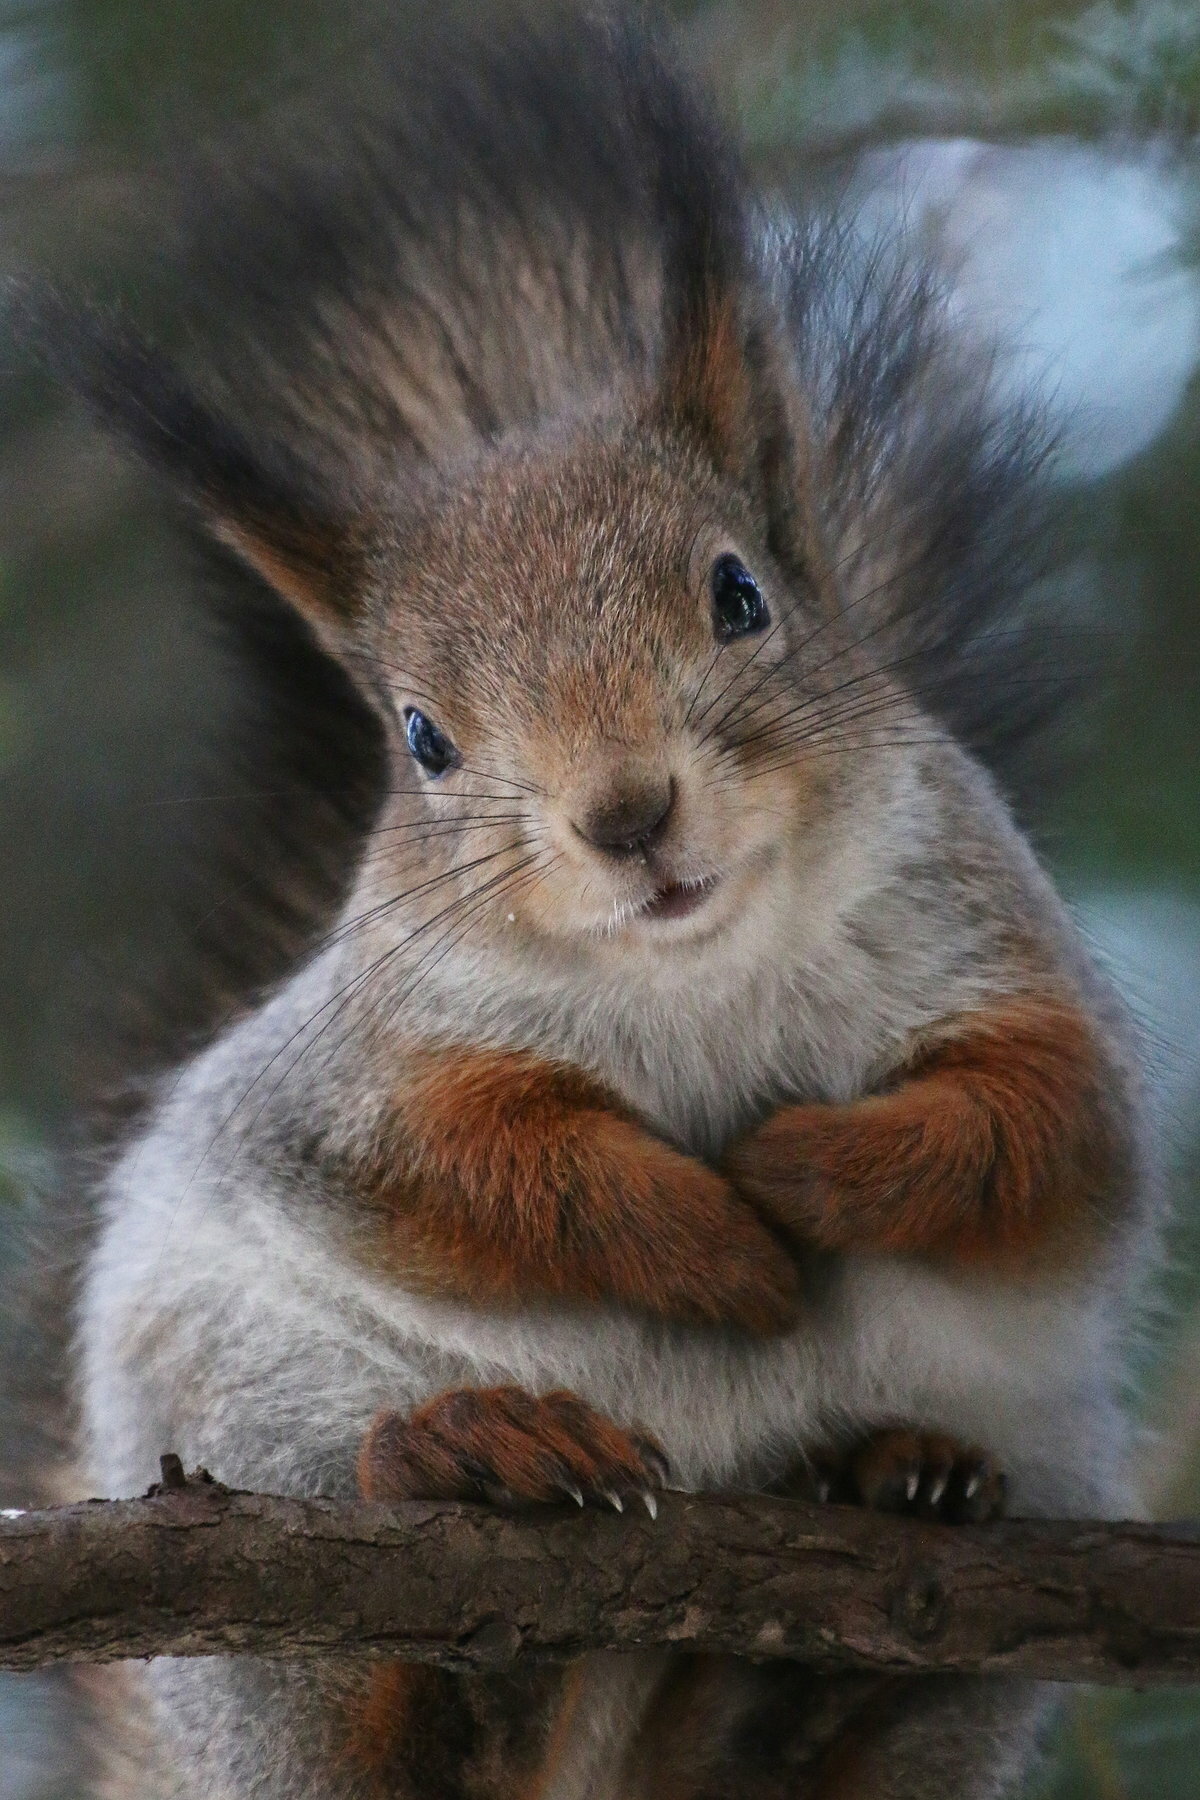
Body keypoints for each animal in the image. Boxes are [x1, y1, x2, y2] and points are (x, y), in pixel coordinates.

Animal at [35, 3, 1156, 1797]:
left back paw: (879, 1531)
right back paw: (463, 1466)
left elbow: (1032, 1128)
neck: (696, 969)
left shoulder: (1008, 957)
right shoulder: (361, 1076)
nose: (627, 815)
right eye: (420, 736)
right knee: (369, 1701)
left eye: (740, 594)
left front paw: (804, 1164)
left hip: (1031, 1501)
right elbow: (478, 1164)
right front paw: (715, 1237)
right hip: (246, 1419)